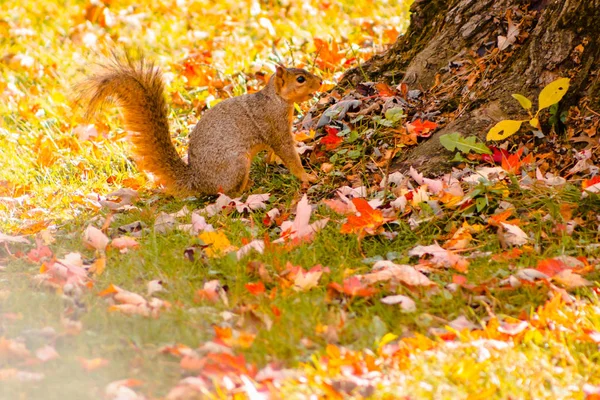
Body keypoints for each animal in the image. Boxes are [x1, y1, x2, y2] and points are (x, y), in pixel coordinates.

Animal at [81, 54, 324, 196]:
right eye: (300, 79)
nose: (321, 81)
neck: (277, 99)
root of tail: (196, 181)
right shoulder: (274, 125)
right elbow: (287, 152)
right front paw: (306, 176)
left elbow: (275, 150)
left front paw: (273, 160)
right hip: (236, 164)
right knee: (227, 194)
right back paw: (247, 189)